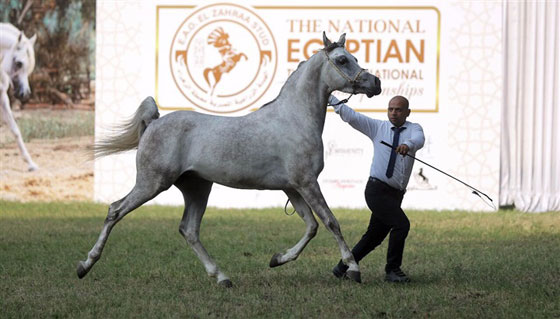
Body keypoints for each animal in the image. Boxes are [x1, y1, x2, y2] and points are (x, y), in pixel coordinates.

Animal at [79, 32, 382, 288]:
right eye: (342, 60)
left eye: (355, 57)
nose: (375, 83)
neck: (294, 119)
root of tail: (153, 122)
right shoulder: (306, 183)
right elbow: (330, 222)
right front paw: (353, 269)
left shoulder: (292, 187)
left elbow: (311, 227)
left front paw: (277, 259)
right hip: (152, 184)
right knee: (115, 211)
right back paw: (85, 265)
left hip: (197, 188)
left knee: (189, 230)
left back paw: (222, 277)